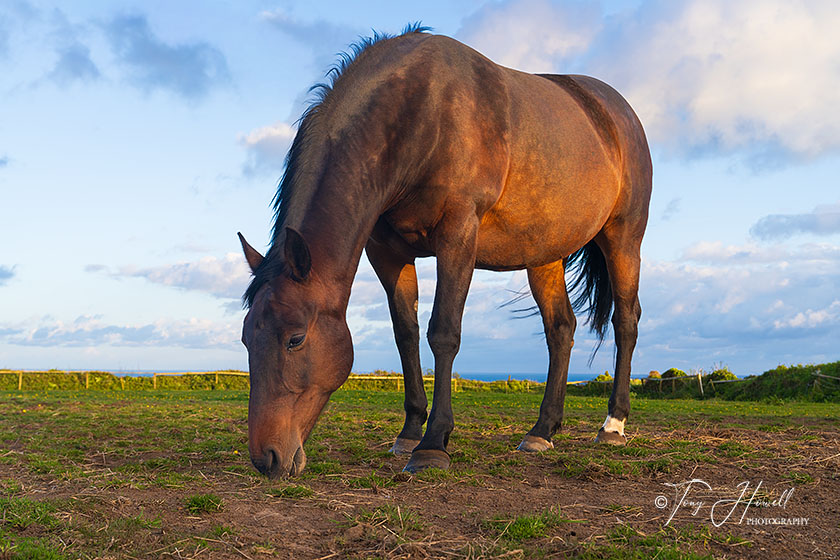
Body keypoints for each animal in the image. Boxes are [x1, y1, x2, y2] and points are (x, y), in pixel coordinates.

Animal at [239, 25, 652, 477]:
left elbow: (443, 332)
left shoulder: (457, 236)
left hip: (623, 239)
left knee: (625, 321)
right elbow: (406, 335)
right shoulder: (387, 254)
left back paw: (612, 424)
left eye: (295, 339)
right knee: (561, 328)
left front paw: (433, 443)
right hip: (545, 256)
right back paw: (542, 430)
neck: (419, 115)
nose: (266, 458)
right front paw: (409, 431)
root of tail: (616, 111)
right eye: (246, 338)